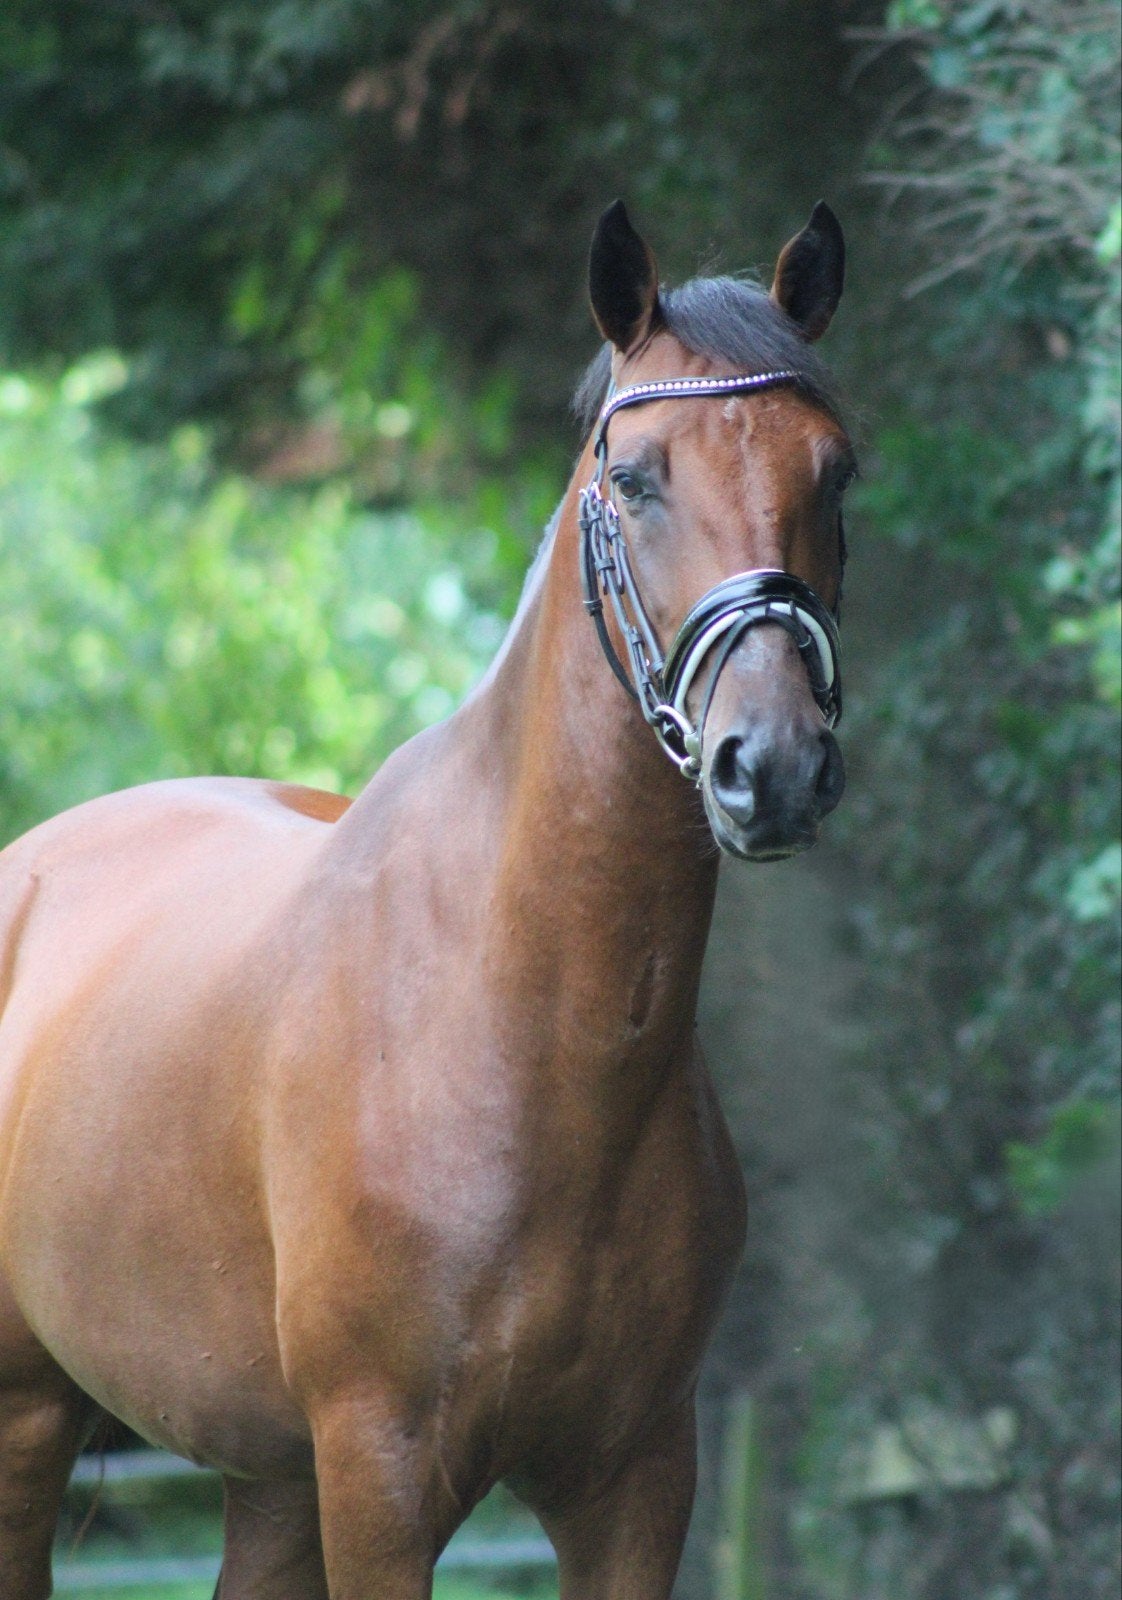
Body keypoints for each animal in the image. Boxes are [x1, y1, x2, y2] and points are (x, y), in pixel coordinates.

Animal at [0, 198, 853, 1599]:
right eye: (635, 477)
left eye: (836, 472)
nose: (771, 765)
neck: (525, 1027)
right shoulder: (382, 1474)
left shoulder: (637, 1481)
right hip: (33, 1416)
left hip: (268, 1480)